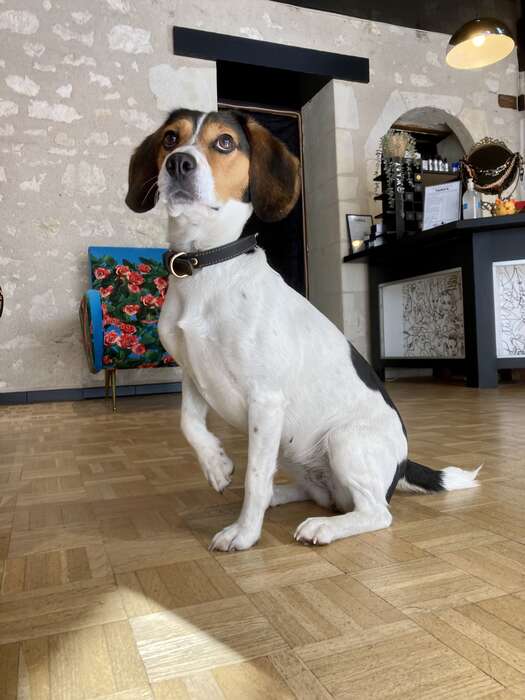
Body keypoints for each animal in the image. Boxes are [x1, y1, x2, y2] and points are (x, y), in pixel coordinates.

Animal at [125, 109, 476, 548]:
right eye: (171, 138)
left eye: (224, 142)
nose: (178, 164)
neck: (207, 264)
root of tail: (403, 464)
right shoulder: (193, 373)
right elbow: (189, 424)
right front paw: (217, 466)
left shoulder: (265, 401)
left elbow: (255, 476)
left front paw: (245, 533)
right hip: (291, 450)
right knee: (317, 493)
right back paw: (281, 498)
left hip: (343, 441)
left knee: (376, 513)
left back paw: (322, 526)